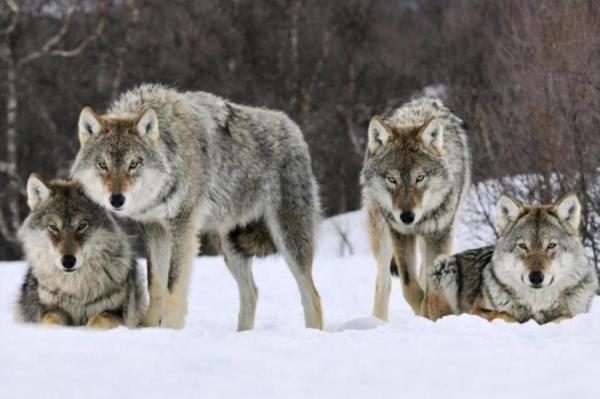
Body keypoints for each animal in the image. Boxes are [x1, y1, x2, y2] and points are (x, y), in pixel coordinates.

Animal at [15, 175, 148, 328]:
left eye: (82, 226)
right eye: (53, 227)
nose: (68, 261)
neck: (75, 289)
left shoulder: (116, 313)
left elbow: (98, 320)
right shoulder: (51, 309)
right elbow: (50, 320)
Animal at [70, 83, 324, 332]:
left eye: (134, 164)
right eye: (102, 164)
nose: (117, 200)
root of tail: (293, 128)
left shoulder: (183, 226)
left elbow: (173, 284)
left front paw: (170, 330)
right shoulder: (154, 228)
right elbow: (155, 283)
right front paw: (149, 327)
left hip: (288, 240)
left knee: (312, 294)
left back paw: (312, 333)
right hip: (232, 249)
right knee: (252, 292)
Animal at [358, 97, 472, 322]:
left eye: (420, 178)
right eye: (391, 179)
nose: (407, 216)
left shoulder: (440, 234)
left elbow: (430, 284)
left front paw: (431, 313)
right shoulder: (400, 233)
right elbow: (409, 285)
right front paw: (423, 311)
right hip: (382, 235)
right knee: (384, 281)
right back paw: (378, 321)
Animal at [426, 194, 600, 324]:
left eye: (551, 245)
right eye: (523, 246)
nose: (536, 277)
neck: (536, 304)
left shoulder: (574, 313)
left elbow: (565, 317)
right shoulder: (477, 310)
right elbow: (505, 315)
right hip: (443, 265)